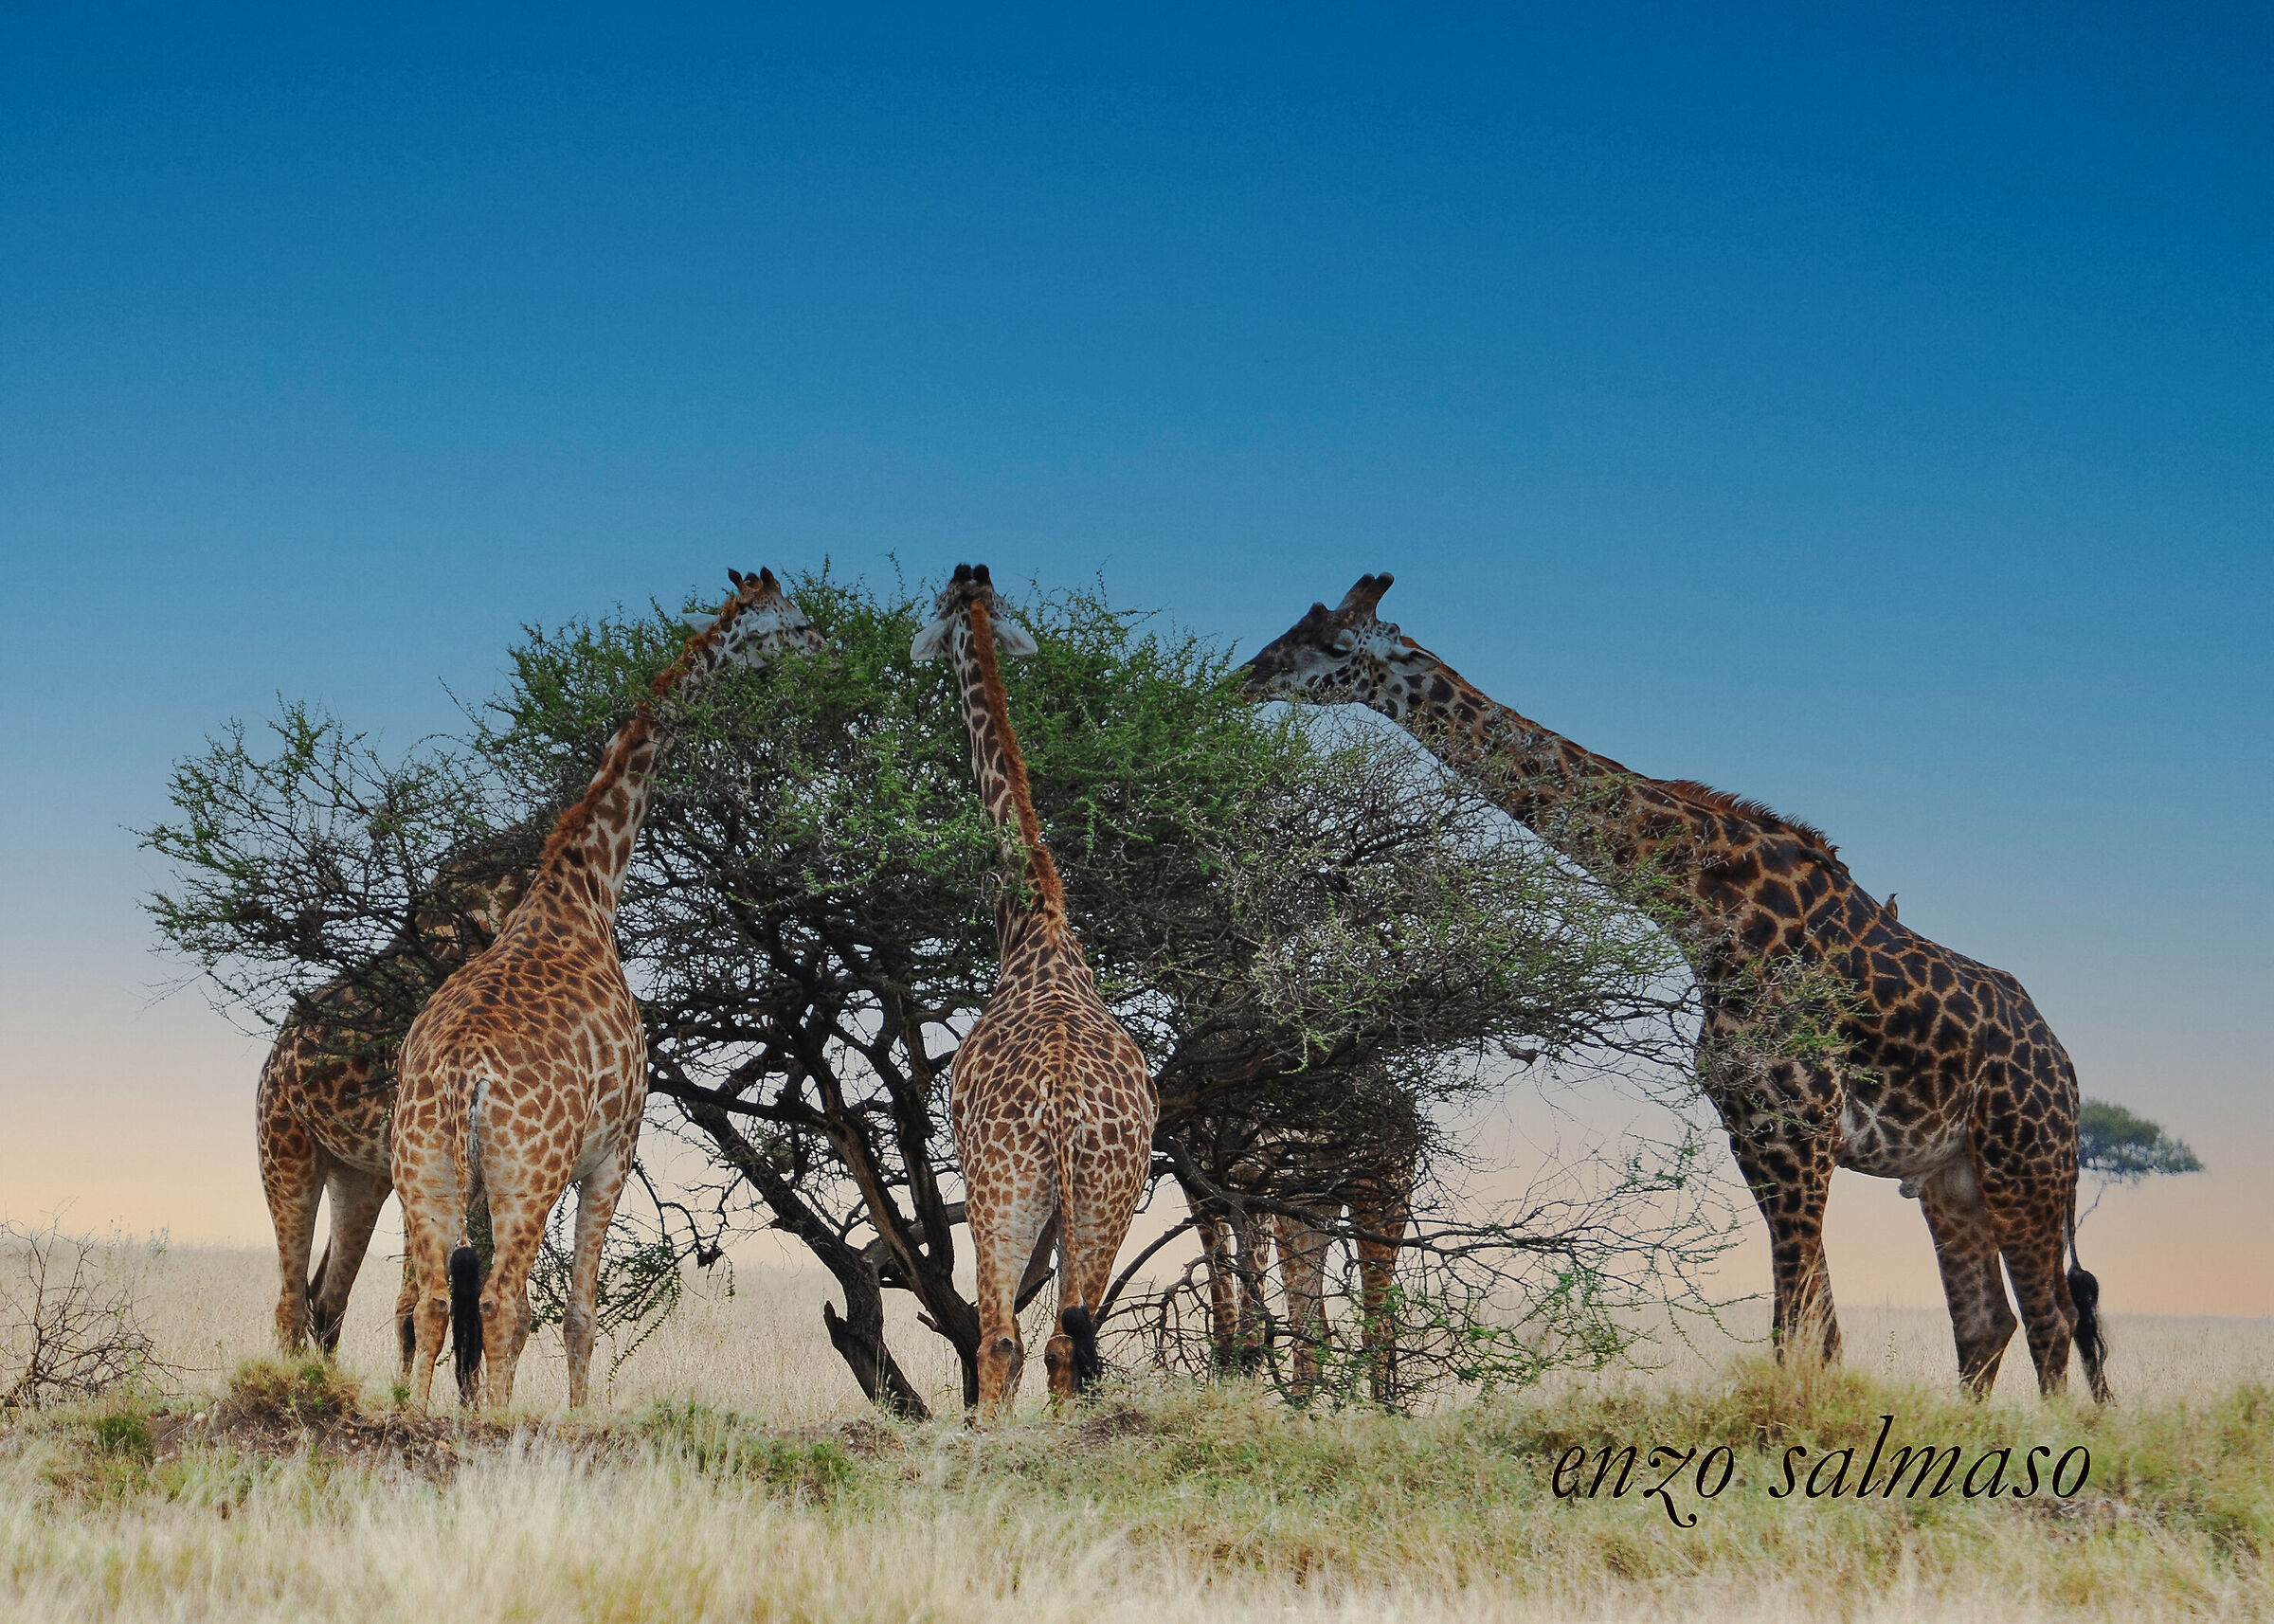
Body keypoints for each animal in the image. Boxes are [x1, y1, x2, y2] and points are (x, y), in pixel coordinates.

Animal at [258, 859, 527, 1359]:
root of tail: (278, 1048)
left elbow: (499, 1307)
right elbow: (415, 1305)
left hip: (359, 1176)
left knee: (327, 1295)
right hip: (283, 1148)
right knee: (291, 1301)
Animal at [392, 568, 823, 1409]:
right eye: (791, 624)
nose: (826, 650)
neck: (587, 890)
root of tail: (462, 1077)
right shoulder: (614, 1153)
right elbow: (580, 1316)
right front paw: (577, 1419)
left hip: (421, 1171)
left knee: (429, 1301)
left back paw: (418, 1418)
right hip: (528, 1176)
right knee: (504, 1300)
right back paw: (495, 1422)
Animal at [911, 564, 1160, 1421]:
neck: (1034, 925)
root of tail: (1061, 1108)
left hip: (1002, 1185)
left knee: (1000, 1341)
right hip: (1108, 1193)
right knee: (1063, 1342)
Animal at [1243, 574, 2108, 1402]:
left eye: (1329, 642)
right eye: (1293, 624)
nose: (1244, 677)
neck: (1713, 914)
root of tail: (2067, 1072)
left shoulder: (1798, 1129)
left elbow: (1797, 1330)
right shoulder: (1755, 1131)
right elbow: (1820, 1333)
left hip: (2023, 1169)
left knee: (2053, 1319)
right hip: (1951, 1183)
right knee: (1989, 1323)